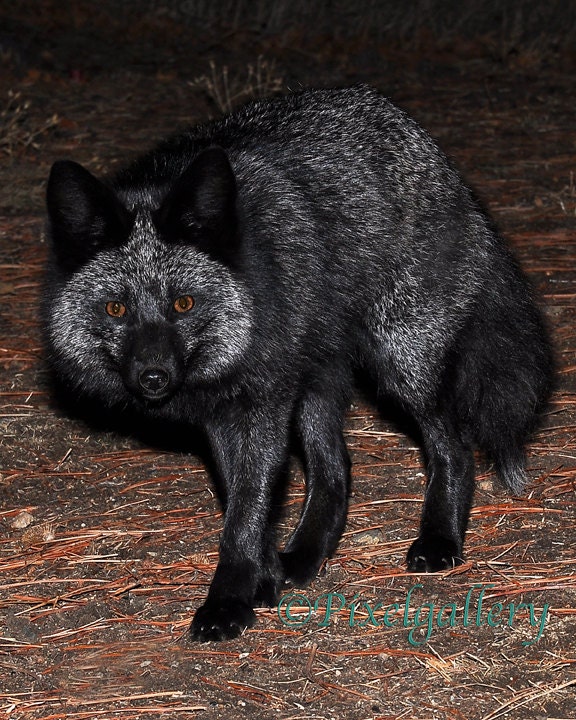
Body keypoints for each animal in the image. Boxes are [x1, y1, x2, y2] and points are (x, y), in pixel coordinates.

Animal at [43, 85, 553, 641]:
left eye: (184, 304)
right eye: (116, 309)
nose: (152, 377)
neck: (253, 281)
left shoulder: (262, 398)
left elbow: (245, 511)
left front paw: (228, 602)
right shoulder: (227, 411)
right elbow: (248, 502)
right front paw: (262, 579)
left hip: (402, 359)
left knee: (452, 446)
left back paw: (440, 540)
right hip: (316, 381)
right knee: (336, 470)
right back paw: (308, 554)